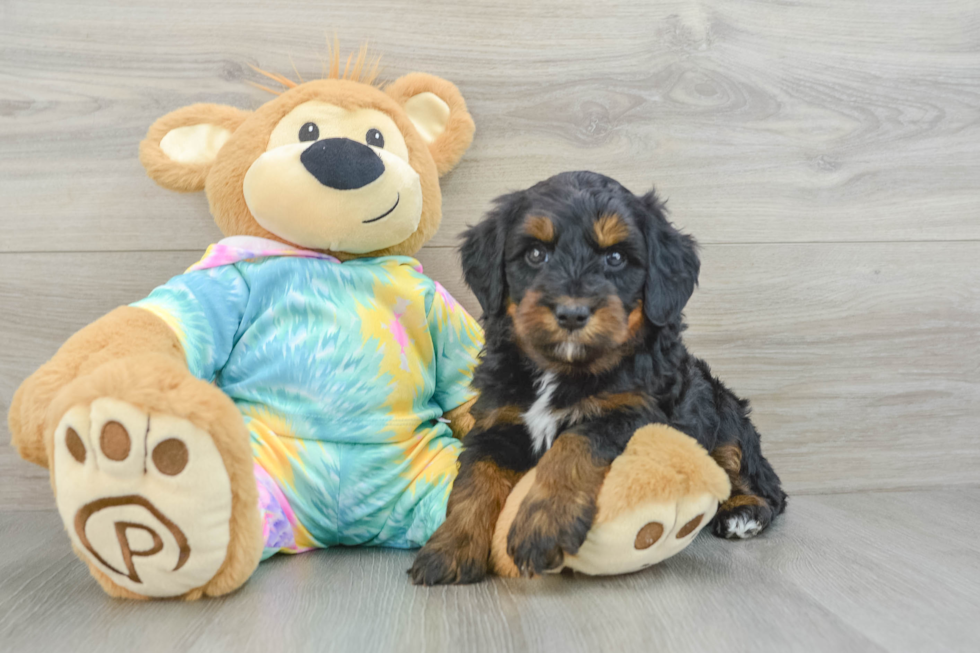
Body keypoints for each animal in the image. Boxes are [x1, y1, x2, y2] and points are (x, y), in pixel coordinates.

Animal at [410, 169, 784, 584]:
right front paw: (450, 547)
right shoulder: (498, 420)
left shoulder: (632, 413)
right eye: (536, 254)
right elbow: (475, 479)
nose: (572, 313)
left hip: (724, 413)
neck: (563, 369)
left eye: (616, 258)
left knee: (757, 479)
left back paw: (743, 512)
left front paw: (542, 525)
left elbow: (573, 442)